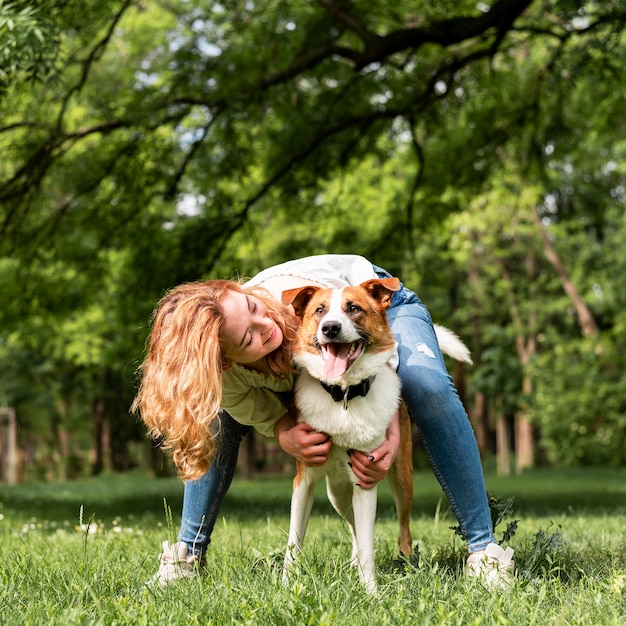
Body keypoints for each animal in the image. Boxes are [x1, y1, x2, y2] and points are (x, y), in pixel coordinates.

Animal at [282, 276, 468, 588]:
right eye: (319, 310)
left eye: (353, 308)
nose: (330, 328)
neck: (343, 396)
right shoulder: (303, 480)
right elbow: (294, 542)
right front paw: (286, 584)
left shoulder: (367, 479)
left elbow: (369, 544)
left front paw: (370, 590)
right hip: (337, 493)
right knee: (353, 528)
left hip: (402, 479)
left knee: (402, 531)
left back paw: (404, 564)